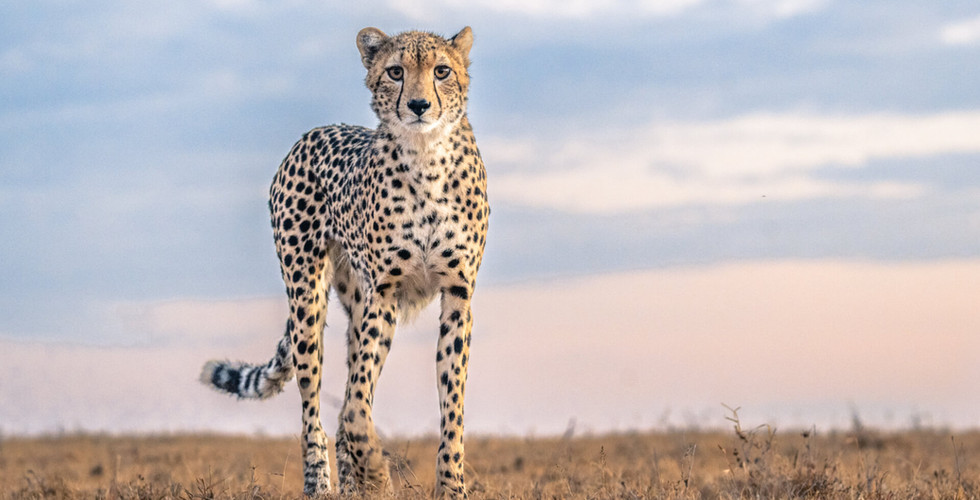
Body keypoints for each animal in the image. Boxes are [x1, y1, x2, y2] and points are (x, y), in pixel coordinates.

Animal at [200, 26, 488, 498]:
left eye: (442, 71)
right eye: (395, 71)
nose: (419, 105)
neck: (426, 156)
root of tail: (315, 131)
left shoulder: (457, 295)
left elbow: (452, 404)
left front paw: (450, 485)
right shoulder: (383, 294)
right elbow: (354, 407)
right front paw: (377, 473)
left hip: (354, 304)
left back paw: (352, 483)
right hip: (307, 300)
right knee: (314, 409)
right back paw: (322, 482)